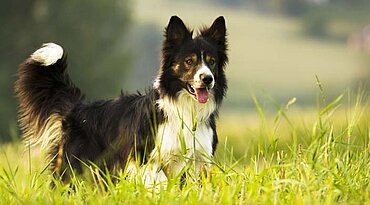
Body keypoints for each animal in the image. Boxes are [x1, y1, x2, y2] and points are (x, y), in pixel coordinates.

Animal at [15, 15, 228, 189]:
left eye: (212, 61)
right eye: (189, 61)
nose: (207, 79)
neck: (186, 109)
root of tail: (77, 108)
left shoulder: (201, 159)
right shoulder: (147, 159)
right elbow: (159, 184)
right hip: (72, 167)